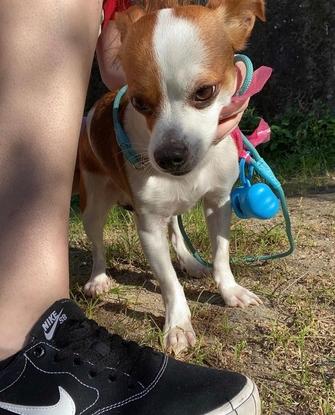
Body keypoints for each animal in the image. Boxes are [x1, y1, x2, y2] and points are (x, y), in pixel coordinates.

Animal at [73, 0, 266, 354]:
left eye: (205, 92)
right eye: (138, 101)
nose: (169, 156)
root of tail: (94, 109)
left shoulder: (218, 203)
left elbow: (221, 255)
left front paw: (230, 291)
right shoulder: (148, 227)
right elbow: (168, 282)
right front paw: (177, 325)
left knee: (176, 229)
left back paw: (190, 261)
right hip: (93, 204)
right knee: (97, 244)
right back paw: (98, 279)